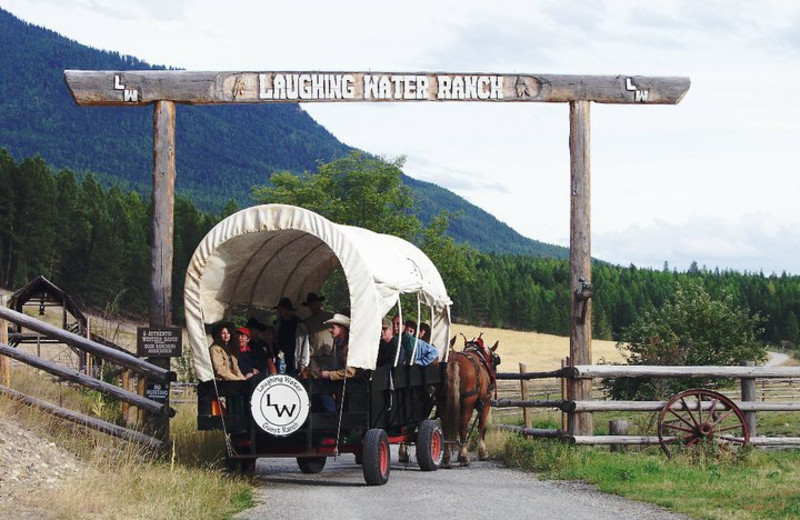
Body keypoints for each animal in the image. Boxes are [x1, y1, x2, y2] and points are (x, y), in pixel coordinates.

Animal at [440, 336, 496, 470]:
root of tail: (453, 361)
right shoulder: (486, 402)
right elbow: (482, 426)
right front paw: (483, 453)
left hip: (442, 402)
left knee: (445, 426)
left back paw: (446, 459)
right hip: (467, 403)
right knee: (463, 426)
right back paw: (464, 457)